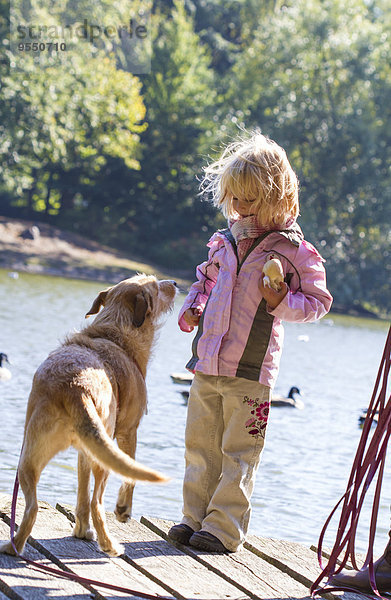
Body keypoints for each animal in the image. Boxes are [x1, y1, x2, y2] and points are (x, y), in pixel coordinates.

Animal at [0, 274, 177, 556]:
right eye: (156, 285)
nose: (175, 283)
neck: (116, 332)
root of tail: (74, 387)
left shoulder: (87, 449)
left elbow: (82, 492)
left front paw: (82, 530)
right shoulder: (128, 432)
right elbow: (127, 479)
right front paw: (123, 510)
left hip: (29, 457)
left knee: (33, 507)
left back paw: (13, 546)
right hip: (103, 458)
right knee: (98, 502)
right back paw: (110, 545)